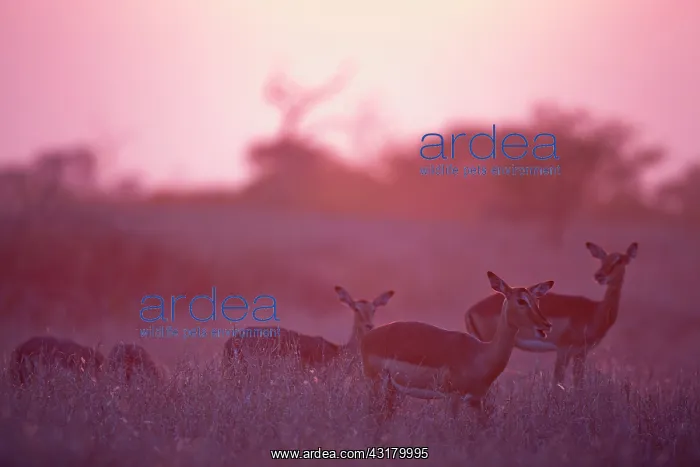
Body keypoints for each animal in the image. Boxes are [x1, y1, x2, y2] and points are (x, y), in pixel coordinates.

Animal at [361, 271, 554, 421]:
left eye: (536, 300)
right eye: (521, 301)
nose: (546, 324)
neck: (480, 354)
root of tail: (368, 337)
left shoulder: (476, 401)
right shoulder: (452, 398)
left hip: (392, 389)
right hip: (375, 383)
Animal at [465, 242, 638, 388]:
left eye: (620, 260)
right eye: (603, 260)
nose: (600, 276)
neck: (596, 310)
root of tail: (470, 310)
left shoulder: (581, 353)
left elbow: (578, 384)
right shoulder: (563, 349)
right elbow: (557, 383)